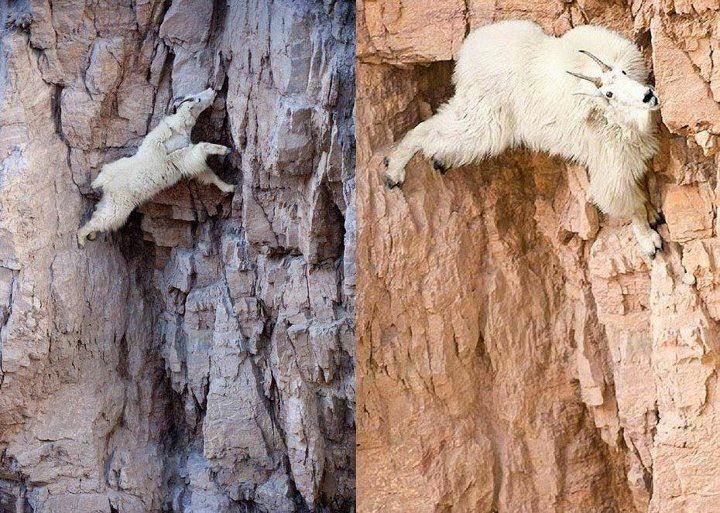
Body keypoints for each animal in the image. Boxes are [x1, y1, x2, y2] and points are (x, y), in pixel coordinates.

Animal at [77, 88, 234, 247]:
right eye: (198, 99)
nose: (212, 90)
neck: (179, 128)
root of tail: (103, 181)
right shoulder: (182, 156)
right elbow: (203, 147)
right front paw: (225, 149)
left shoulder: (187, 161)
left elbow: (208, 174)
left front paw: (229, 187)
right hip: (119, 205)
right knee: (103, 219)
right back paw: (81, 239)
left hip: (110, 201)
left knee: (99, 214)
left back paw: (91, 235)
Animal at [384, 21, 662, 257]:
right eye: (609, 93)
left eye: (624, 72)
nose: (649, 96)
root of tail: (466, 55)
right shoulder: (610, 163)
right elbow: (627, 204)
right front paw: (650, 241)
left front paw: (652, 213)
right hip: (484, 121)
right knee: (428, 132)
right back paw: (393, 171)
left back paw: (439, 161)